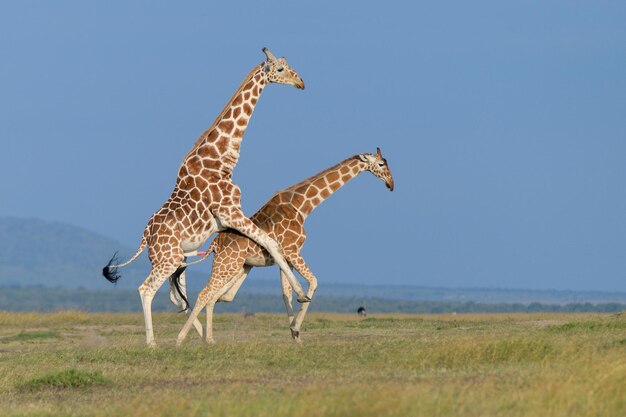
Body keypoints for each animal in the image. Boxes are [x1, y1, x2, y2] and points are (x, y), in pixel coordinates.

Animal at [102, 48, 310, 344]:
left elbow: (266, 245)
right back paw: (153, 342)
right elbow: (271, 242)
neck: (221, 158)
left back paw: (195, 336)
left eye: (288, 64)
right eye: (280, 69)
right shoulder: (231, 211)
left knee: (176, 296)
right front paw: (302, 293)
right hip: (167, 259)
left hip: (175, 257)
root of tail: (145, 238)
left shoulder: (228, 221)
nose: (300, 82)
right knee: (146, 289)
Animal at [174, 147, 390, 344]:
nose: (391, 183)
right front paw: (296, 328)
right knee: (205, 294)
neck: (302, 206)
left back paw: (209, 339)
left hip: (238, 266)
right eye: (381, 164)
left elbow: (286, 294)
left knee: (216, 296)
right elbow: (313, 282)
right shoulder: (292, 250)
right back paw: (182, 338)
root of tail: (215, 243)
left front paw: (296, 336)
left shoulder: (286, 259)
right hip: (227, 265)